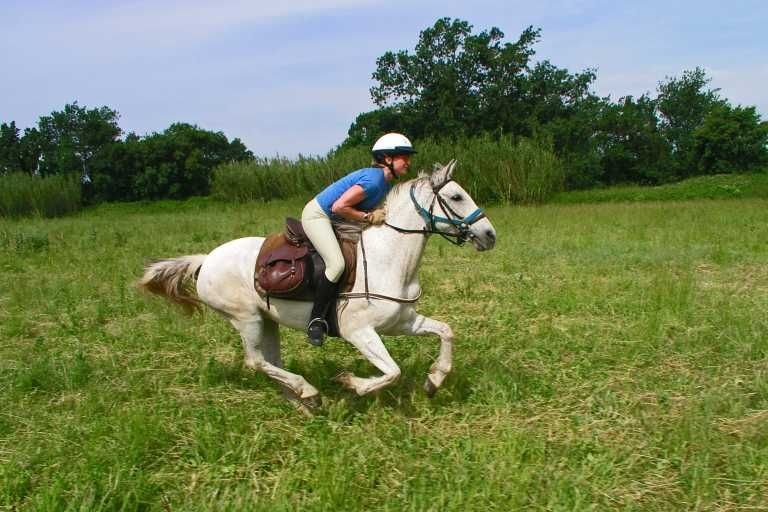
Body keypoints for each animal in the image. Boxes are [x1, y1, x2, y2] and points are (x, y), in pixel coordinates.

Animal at [138, 160, 498, 408]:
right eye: (456, 196)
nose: (490, 235)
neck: (388, 258)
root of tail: (205, 259)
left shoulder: (402, 322)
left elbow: (446, 331)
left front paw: (434, 380)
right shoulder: (358, 331)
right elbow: (392, 371)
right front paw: (352, 383)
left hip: (267, 320)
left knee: (270, 362)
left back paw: (302, 401)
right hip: (245, 318)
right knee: (256, 362)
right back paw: (307, 390)